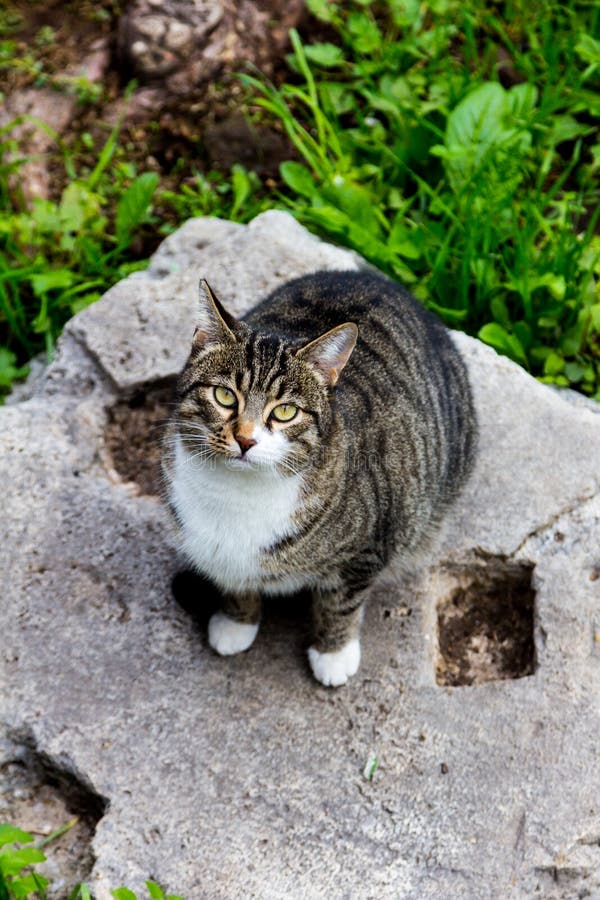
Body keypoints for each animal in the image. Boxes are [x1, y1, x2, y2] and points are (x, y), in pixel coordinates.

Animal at [161, 270, 478, 684]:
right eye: (224, 396)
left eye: (285, 412)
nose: (245, 439)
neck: (237, 493)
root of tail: (377, 278)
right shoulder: (212, 547)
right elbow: (233, 583)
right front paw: (236, 623)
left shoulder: (368, 547)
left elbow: (340, 604)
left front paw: (333, 654)